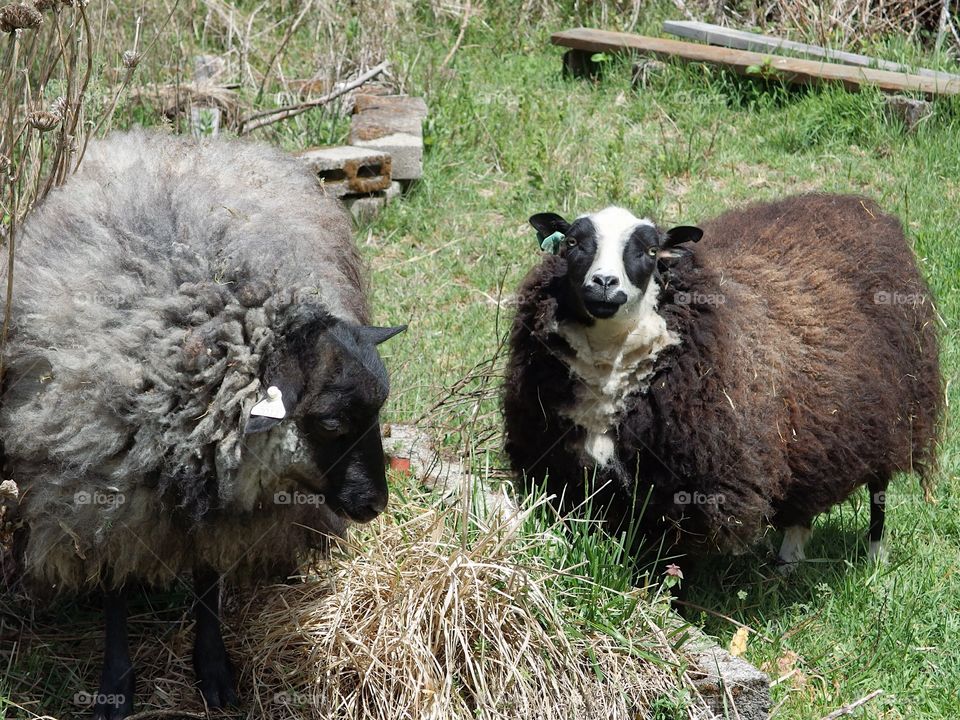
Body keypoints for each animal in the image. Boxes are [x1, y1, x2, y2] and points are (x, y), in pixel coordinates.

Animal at [0, 131, 404, 720]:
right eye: (331, 422)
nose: (374, 505)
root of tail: (189, 142)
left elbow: (208, 578)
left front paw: (214, 670)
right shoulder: (103, 496)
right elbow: (115, 587)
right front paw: (116, 684)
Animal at [506, 194, 940, 564]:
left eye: (650, 251)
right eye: (573, 243)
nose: (604, 284)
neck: (610, 371)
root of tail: (857, 205)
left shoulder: (684, 490)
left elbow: (667, 567)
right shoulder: (570, 474)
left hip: (895, 410)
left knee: (879, 490)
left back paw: (875, 559)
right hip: (809, 429)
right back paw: (789, 560)